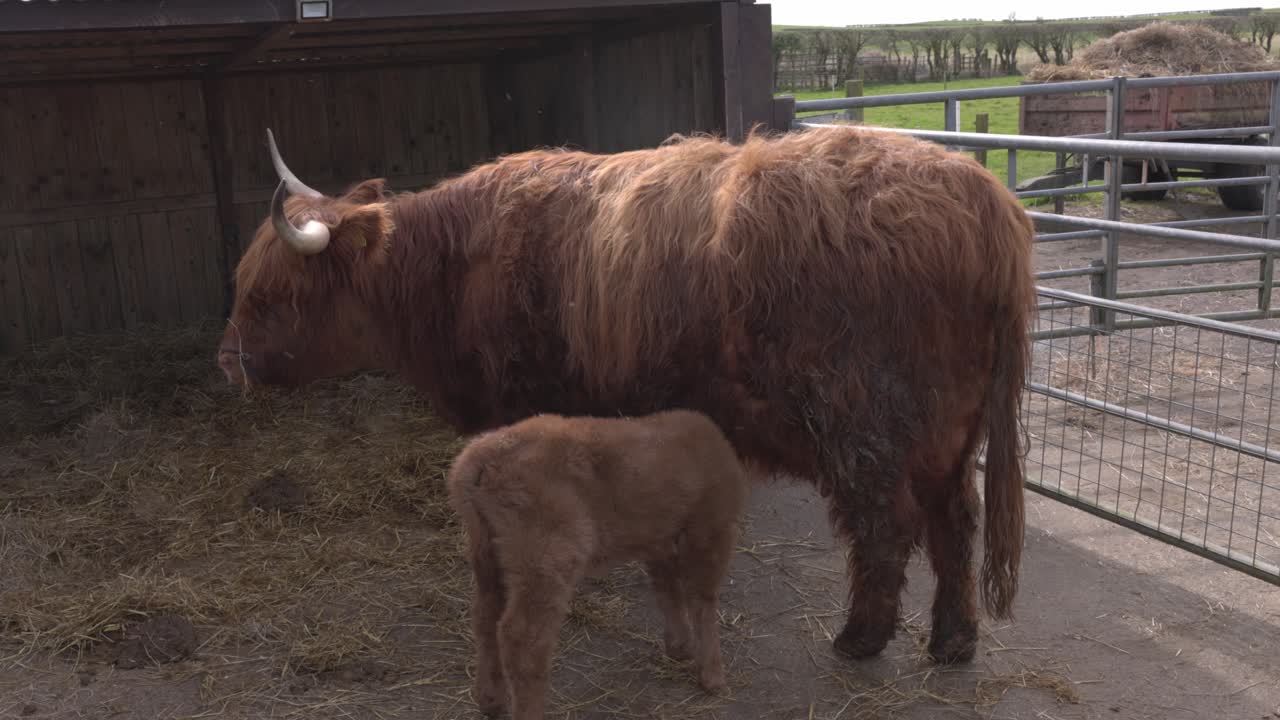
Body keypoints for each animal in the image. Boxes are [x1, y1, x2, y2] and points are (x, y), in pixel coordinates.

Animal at [217, 125, 1035, 665]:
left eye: (269, 294)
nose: (227, 361)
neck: (455, 268)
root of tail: (984, 198)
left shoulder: (523, 407)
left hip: (862, 424)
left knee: (886, 527)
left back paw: (861, 638)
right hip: (948, 434)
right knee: (954, 522)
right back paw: (953, 640)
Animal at [446, 409, 747, 718]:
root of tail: (482, 460)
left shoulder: (660, 535)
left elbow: (668, 588)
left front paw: (680, 647)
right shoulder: (713, 526)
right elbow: (703, 599)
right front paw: (713, 677)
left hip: (488, 551)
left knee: (485, 616)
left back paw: (491, 700)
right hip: (545, 559)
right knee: (523, 639)